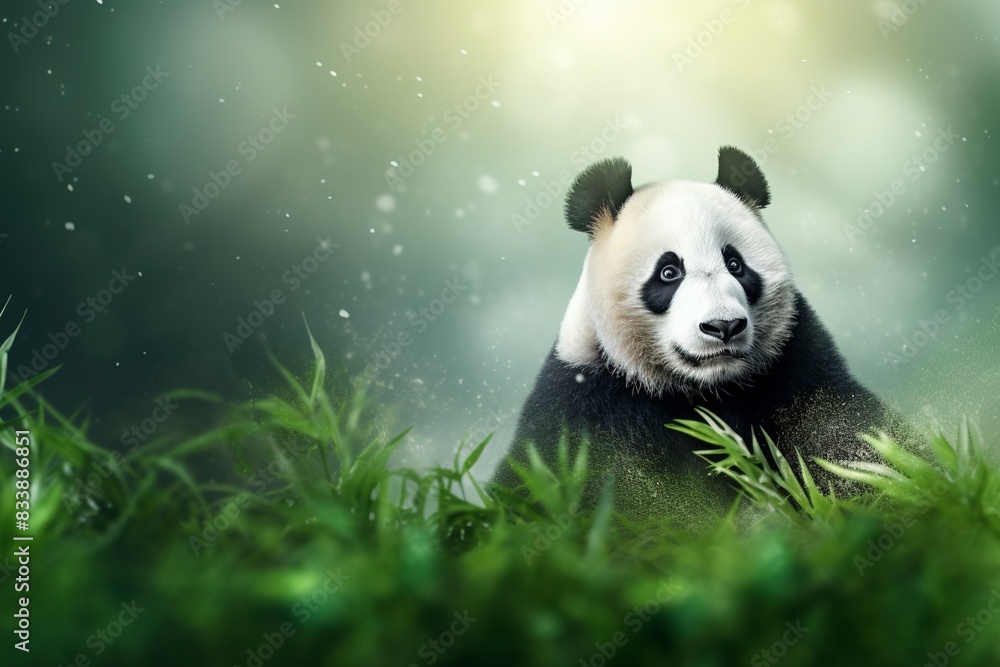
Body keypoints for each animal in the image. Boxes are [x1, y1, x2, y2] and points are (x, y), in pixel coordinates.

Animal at [491, 147, 910, 522]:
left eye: (736, 264)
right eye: (668, 272)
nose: (723, 326)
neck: (706, 388)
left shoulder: (793, 365)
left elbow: (846, 438)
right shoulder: (589, 399)